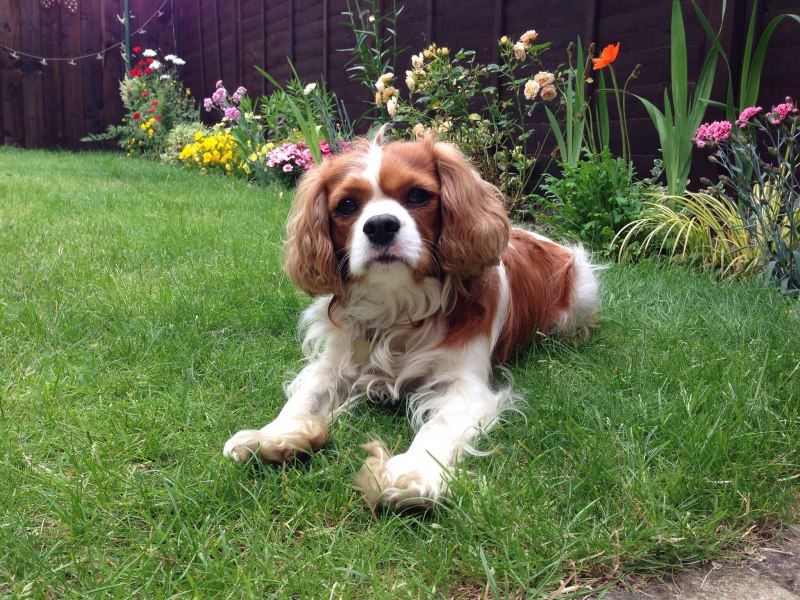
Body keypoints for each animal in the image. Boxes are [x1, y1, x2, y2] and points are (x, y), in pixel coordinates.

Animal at [223, 131, 600, 510]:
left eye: (418, 195)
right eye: (346, 206)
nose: (380, 225)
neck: (398, 304)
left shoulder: (465, 385)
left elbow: (438, 427)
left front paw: (412, 472)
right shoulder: (334, 363)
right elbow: (306, 396)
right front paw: (274, 435)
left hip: (583, 286)